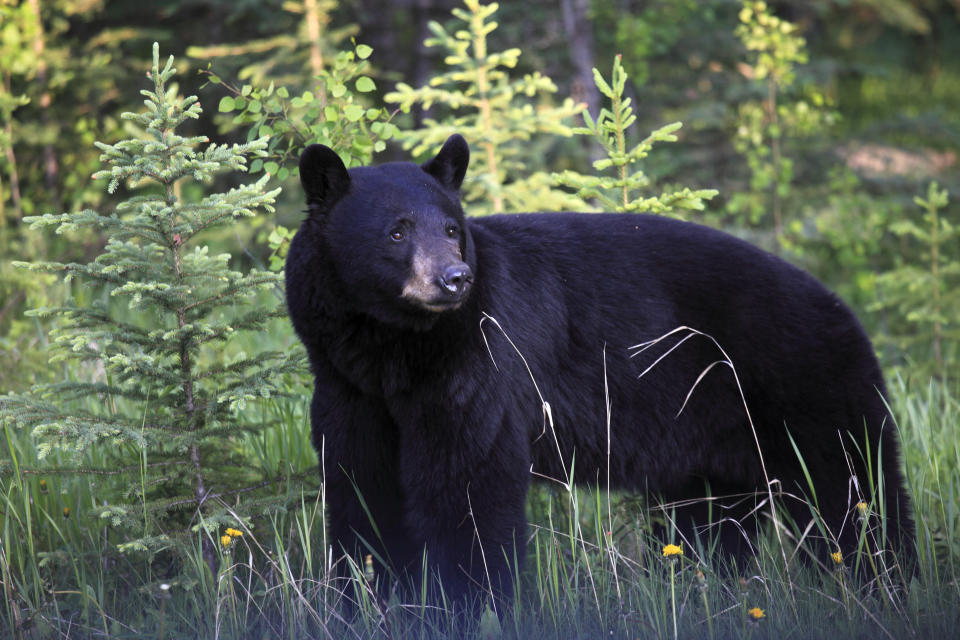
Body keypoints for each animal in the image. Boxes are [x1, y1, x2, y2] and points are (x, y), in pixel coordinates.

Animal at [284, 134, 908, 604]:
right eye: (397, 230)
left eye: (452, 229)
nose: (455, 279)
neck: (391, 352)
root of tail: (841, 306)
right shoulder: (347, 391)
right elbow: (361, 490)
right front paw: (364, 596)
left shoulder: (475, 373)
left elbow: (467, 489)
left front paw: (466, 604)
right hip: (717, 442)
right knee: (708, 522)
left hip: (808, 392)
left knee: (854, 496)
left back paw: (888, 586)